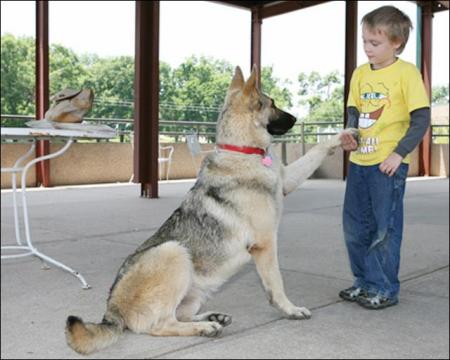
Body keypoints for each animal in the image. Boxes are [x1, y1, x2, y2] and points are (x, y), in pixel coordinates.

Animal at [65, 66, 356, 352]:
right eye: (272, 103)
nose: (296, 118)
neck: (242, 151)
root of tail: (112, 310)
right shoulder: (265, 244)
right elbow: (276, 282)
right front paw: (290, 309)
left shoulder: (288, 180)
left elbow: (315, 153)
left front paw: (342, 136)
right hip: (173, 252)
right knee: (160, 324)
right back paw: (205, 327)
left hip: (197, 289)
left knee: (180, 314)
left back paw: (211, 317)